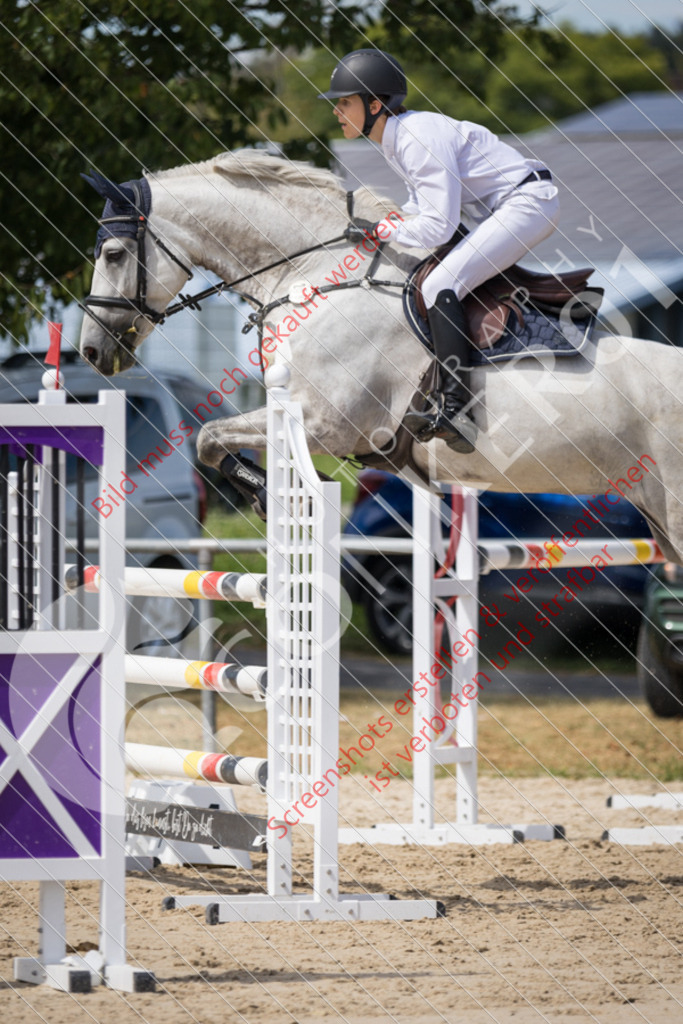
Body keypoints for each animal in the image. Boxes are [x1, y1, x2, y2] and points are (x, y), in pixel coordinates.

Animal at [81, 149, 683, 561]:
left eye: (112, 254)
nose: (91, 349)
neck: (315, 274)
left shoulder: (332, 426)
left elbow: (207, 438)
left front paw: (267, 493)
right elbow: (210, 439)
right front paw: (265, 491)